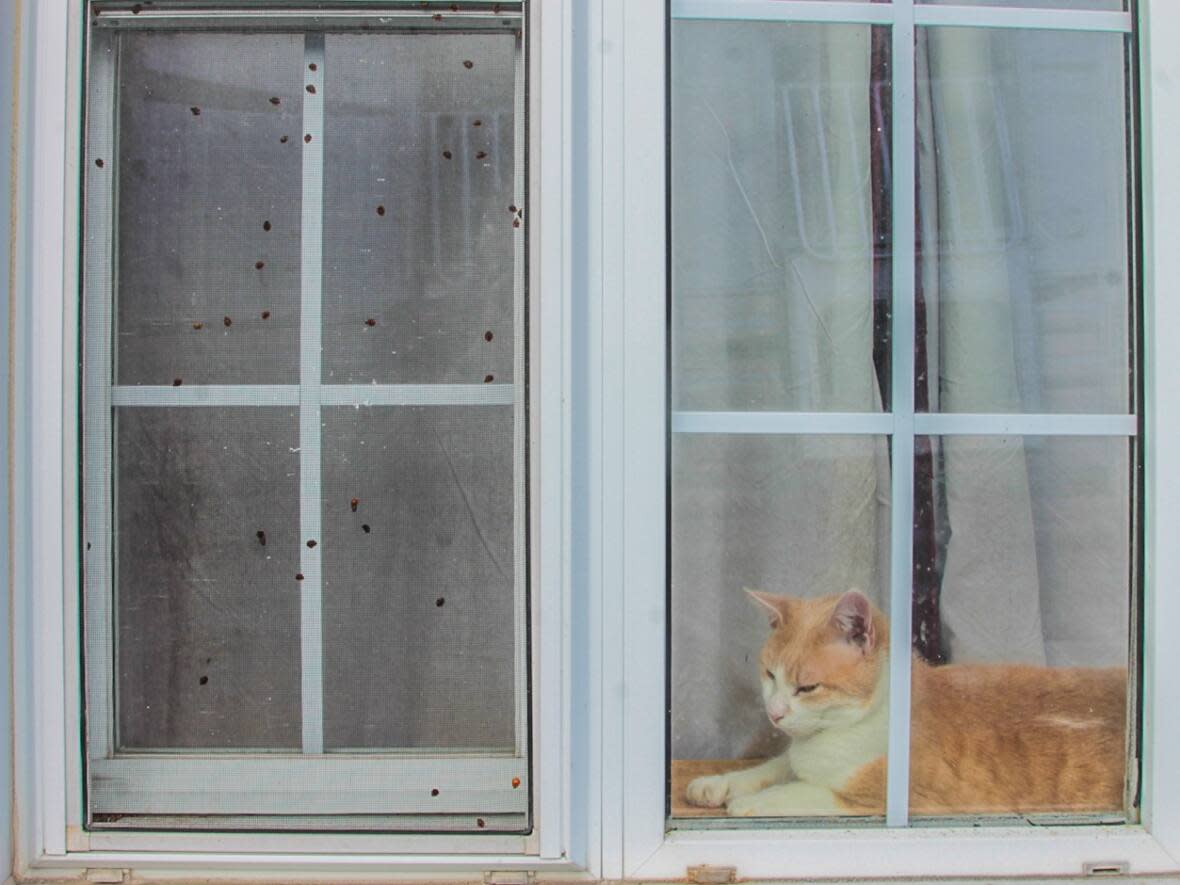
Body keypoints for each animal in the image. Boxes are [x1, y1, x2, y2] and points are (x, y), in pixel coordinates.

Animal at [689, 590, 1128, 816]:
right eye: (770, 675)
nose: (774, 713)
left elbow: (802, 792)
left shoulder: (889, 800)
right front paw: (717, 784)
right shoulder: (798, 757)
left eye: (807, 687)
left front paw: (748, 802)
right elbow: (773, 767)